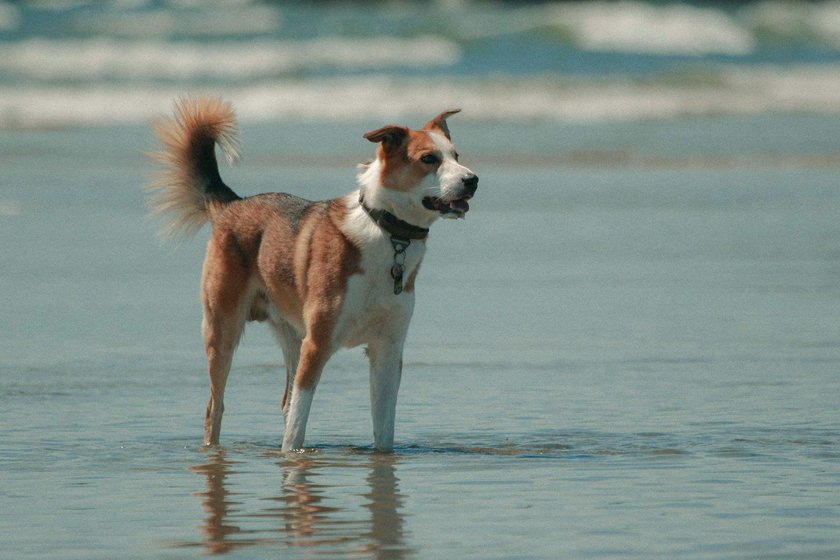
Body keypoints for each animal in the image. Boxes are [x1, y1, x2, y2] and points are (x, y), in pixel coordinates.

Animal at [148, 97, 480, 450]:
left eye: (456, 156)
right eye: (428, 159)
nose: (472, 180)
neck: (388, 232)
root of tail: (231, 205)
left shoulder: (388, 350)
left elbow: (383, 428)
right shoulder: (317, 344)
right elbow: (297, 425)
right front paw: (293, 457)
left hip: (292, 335)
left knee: (285, 401)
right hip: (223, 329)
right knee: (216, 406)